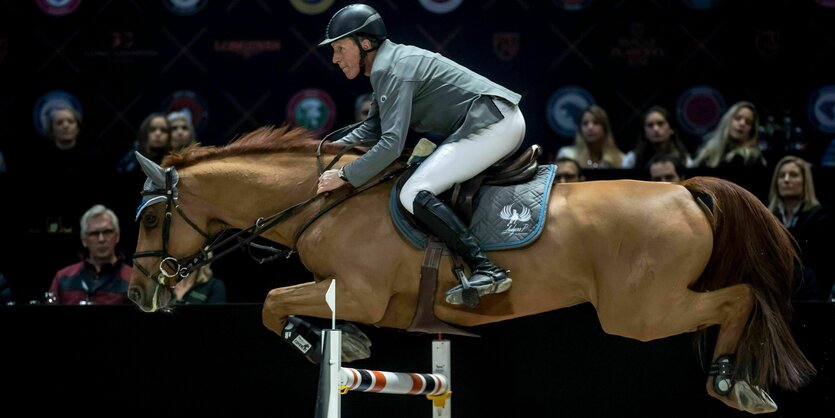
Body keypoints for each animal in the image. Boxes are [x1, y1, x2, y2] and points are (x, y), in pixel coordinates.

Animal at [127, 125, 812, 414]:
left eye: (150, 216)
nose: (136, 295)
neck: (322, 199)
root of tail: (685, 190)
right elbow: (277, 304)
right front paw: (339, 341)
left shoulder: (360, 293)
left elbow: (273, 304)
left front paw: (334, 341)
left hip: (641, 312)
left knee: (742, 298)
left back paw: (731, 382)